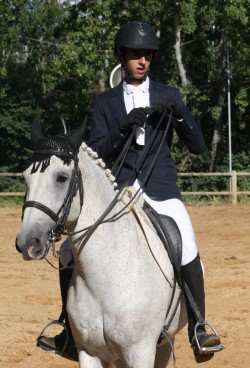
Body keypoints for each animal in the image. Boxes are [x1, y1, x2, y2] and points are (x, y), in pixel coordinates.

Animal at [15, 123, 187, 368]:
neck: (108, 272)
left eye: (62, 177)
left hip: (162, 344)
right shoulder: (89, 352)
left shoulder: (141, 351)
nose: (28, 242)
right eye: (25, 178)